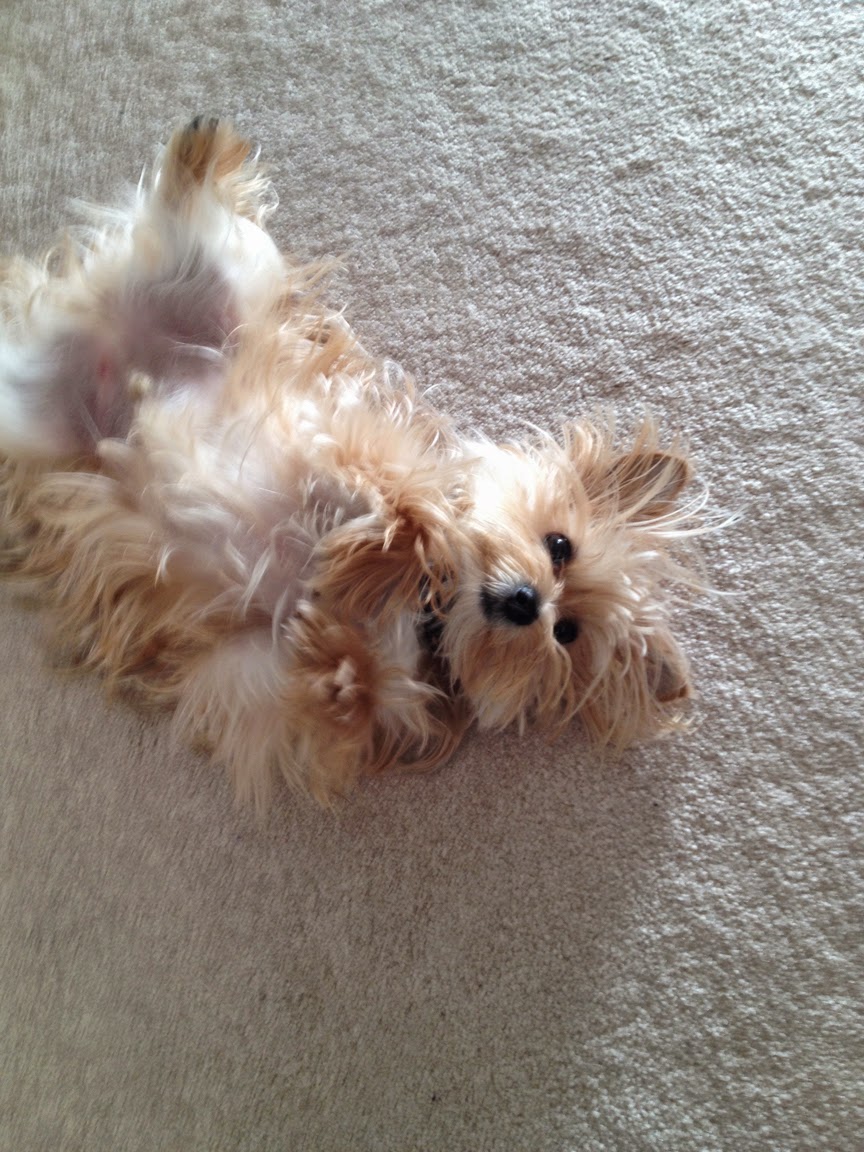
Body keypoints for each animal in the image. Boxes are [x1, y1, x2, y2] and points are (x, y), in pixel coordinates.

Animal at [0, 118, 714, 806]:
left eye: (566, 633)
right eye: (559, 545)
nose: (525, 601)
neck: (429, 611)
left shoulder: (245, 669)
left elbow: (330, 696)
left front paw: (338, 666)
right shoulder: (350, 431)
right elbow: (414, 512)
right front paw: (376, 552)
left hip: (32, 418)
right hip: (230, 287)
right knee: (198, 233)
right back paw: (195, 160)